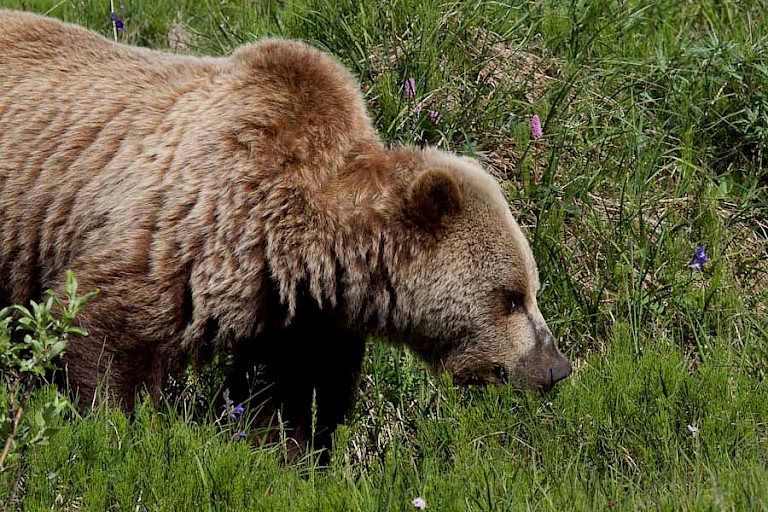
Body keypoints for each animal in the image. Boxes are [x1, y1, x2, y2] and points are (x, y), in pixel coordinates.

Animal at [0, 10, 571, 460]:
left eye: (531, 290)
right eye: (512, 297)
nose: (556, 368)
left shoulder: (304, 313)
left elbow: (291, 397)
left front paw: (284, 455)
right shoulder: (186, 227)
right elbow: (107, 332)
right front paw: (119, 426)